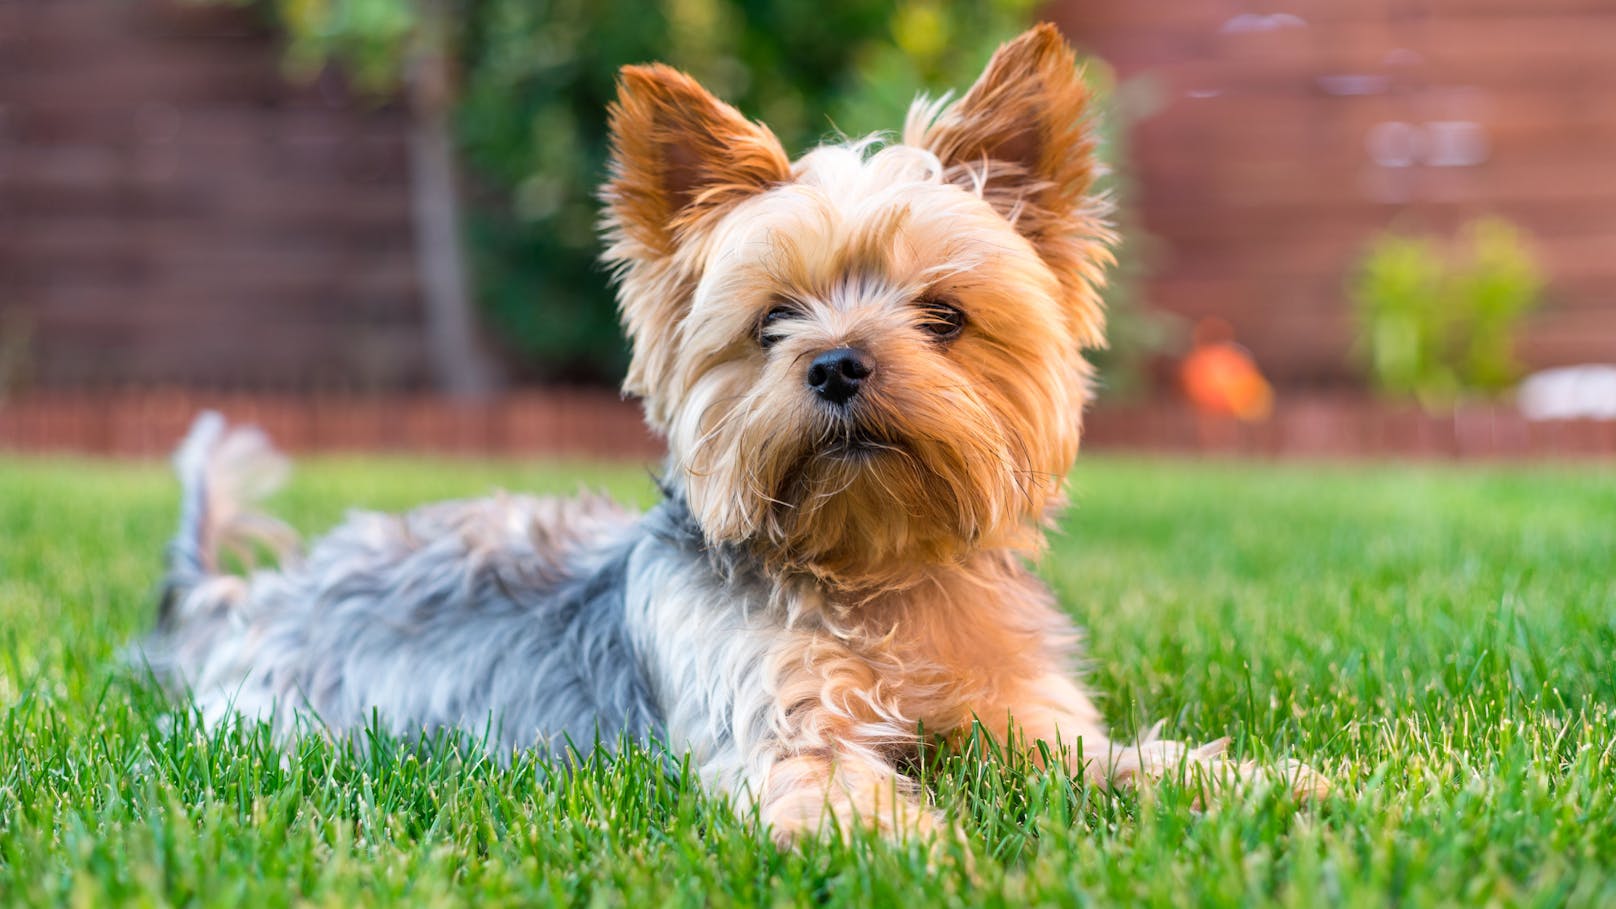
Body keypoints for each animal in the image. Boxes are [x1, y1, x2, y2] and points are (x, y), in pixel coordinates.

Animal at [138, 23, 1325, 841]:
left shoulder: (1022, 719)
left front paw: (1259, 783)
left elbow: (1117, 759)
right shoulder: (784, 731)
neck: (876, 575)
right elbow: (850, 799)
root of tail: (243, 598)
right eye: (772, 321)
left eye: (943, 315)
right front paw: (935, 858)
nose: (836, 362)